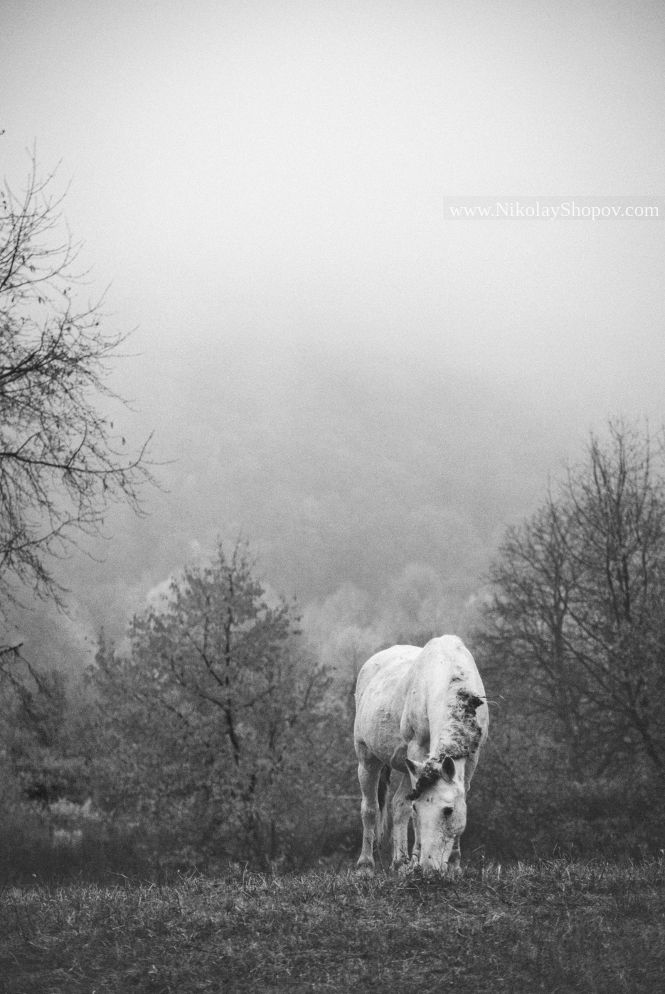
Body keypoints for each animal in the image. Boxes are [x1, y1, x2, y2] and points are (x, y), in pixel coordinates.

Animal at [352, 636, 488, 876]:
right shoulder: (418, 748)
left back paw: (399, 863)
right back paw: (365, 867)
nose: (429, 868)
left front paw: (454, 866)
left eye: (448, 811)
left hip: (410, 767)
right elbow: (409, 811)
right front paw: (416, 861)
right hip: (367, 760)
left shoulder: (471, 759)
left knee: (398, 804)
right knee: (370, 809)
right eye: (419, 808)